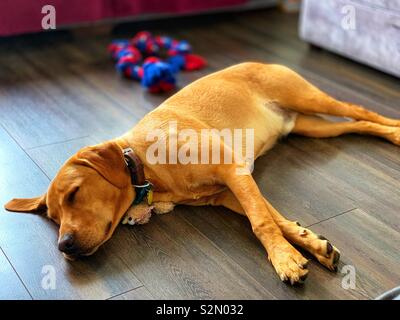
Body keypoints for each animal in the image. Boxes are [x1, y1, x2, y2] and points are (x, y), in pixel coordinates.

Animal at [3, 63, 400, 284]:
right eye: (54, 218)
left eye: (74, 194)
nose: (64, 246)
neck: (146, 164)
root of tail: (259, 59)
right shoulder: (228, 192)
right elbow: (274, 218)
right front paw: (310, 244)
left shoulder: (234, 172)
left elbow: (261, 223)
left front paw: (283, 259)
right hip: (310, 127)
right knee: (359, 124)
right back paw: (389, 133)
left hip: (307, 98)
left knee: (359, 109)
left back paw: (395, 128)